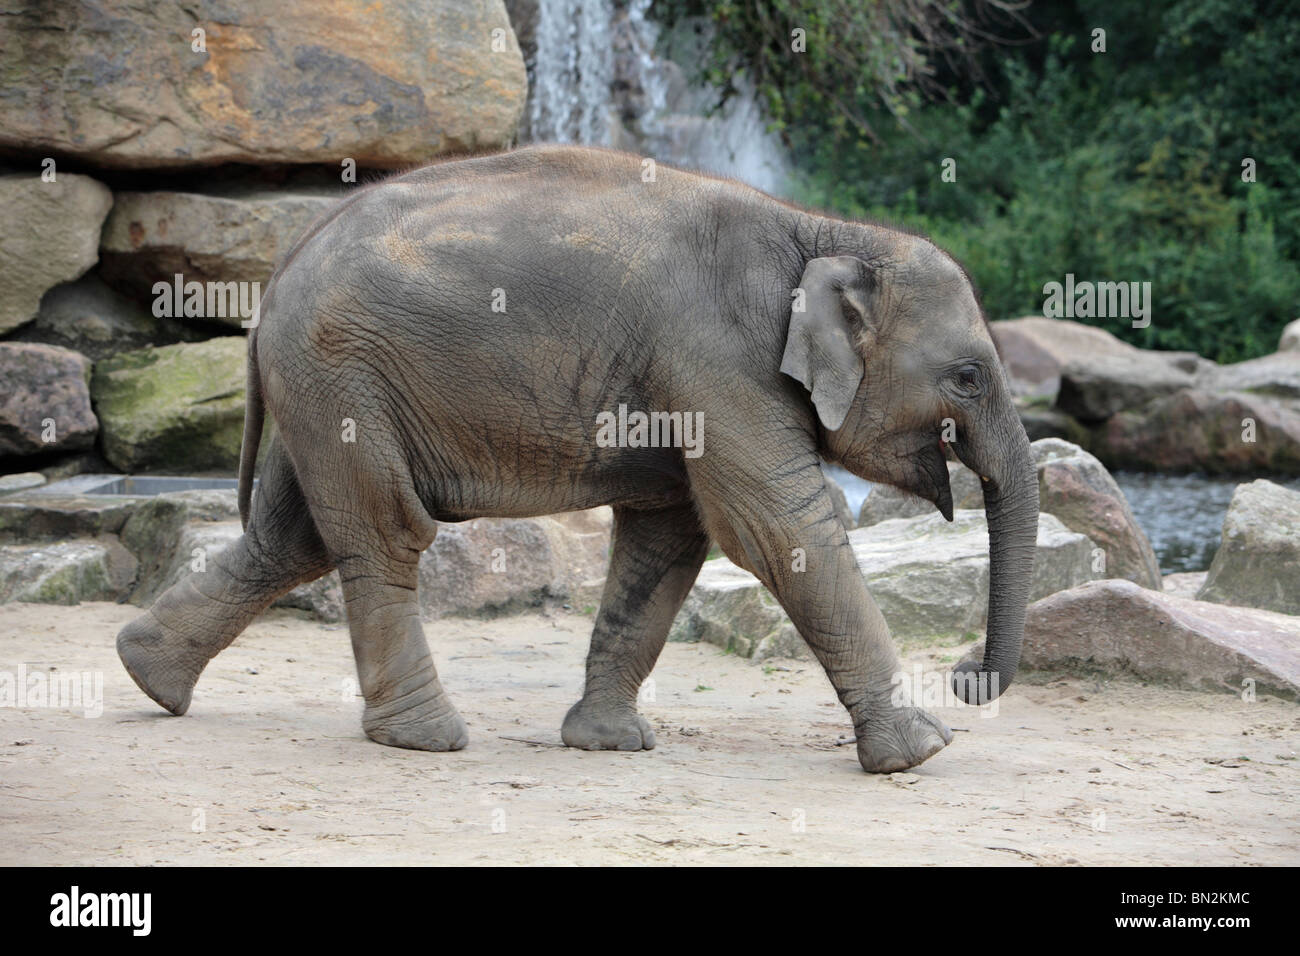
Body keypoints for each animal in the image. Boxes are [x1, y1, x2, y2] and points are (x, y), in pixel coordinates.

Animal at [116, 145, 1039, 774]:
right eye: (968, 377)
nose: (965, 674)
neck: (825, 231)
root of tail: (280, 266)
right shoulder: (717, 362)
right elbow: (776, 527)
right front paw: (922, 750)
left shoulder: (693, 382)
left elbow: (668, 538)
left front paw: (609, 743)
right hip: (341, 370)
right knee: (383, 531)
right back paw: (425, 739)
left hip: (321, 387)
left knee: (289, 538)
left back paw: (149, 678)